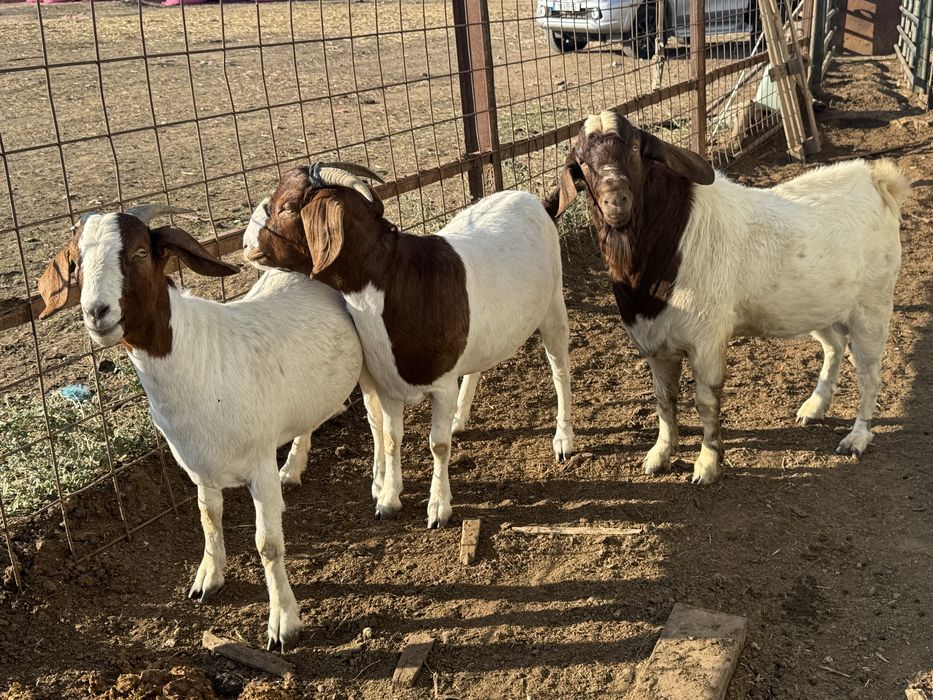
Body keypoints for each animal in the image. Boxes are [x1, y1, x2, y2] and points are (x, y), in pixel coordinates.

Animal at [38, 205, 380, 651]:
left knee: (380, 421)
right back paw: (292, 469)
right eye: (76, 262)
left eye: (140, 253)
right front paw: (207, 578)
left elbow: (268, 545)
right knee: (307, 419)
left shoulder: (257, 463)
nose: (97, 313)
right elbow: (209, 518)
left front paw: (283, 623)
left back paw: (381, 483)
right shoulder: (199, 466)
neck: (196, 357)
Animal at [242, 163, 574, 528]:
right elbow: (391, 439)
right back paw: (460, 418)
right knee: (478, 365)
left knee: (560, 369)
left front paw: (438, 507)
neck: (396, 281)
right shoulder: (388, 384)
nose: (246, 243)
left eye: (288, 207)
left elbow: (438, 445)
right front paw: (388, 500)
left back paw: (563, 439)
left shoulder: (441, 386)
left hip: (553, 305)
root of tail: (535, 201)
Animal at [550, 110, 910, 484]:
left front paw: (707, 464)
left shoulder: (706, 340)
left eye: (635, 148)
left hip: (873, 305)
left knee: (870, 373)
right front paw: (659, 455)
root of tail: (876, 180)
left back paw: (858, 436)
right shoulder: (654, 343)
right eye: (581, 161)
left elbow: (706, 401)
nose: (615, 199)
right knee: (835, 345)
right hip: (818, 304)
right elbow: (664, 401)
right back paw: (814, 407)